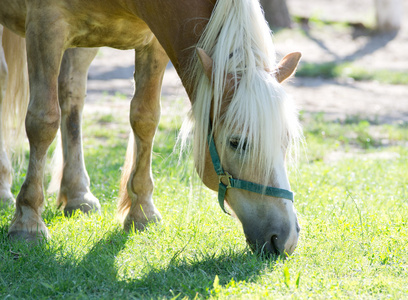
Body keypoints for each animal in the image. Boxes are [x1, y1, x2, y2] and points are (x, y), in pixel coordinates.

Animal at [0, 0, 302, 255]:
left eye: (286, 140)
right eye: (237, 142)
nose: (286, 237)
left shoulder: (154, 42)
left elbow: (145, 118)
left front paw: (142, 212)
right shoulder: (45, 26)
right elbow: (43, 121)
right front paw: (28, 222)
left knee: (71, 93)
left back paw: (78, 194)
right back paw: (5, 188)